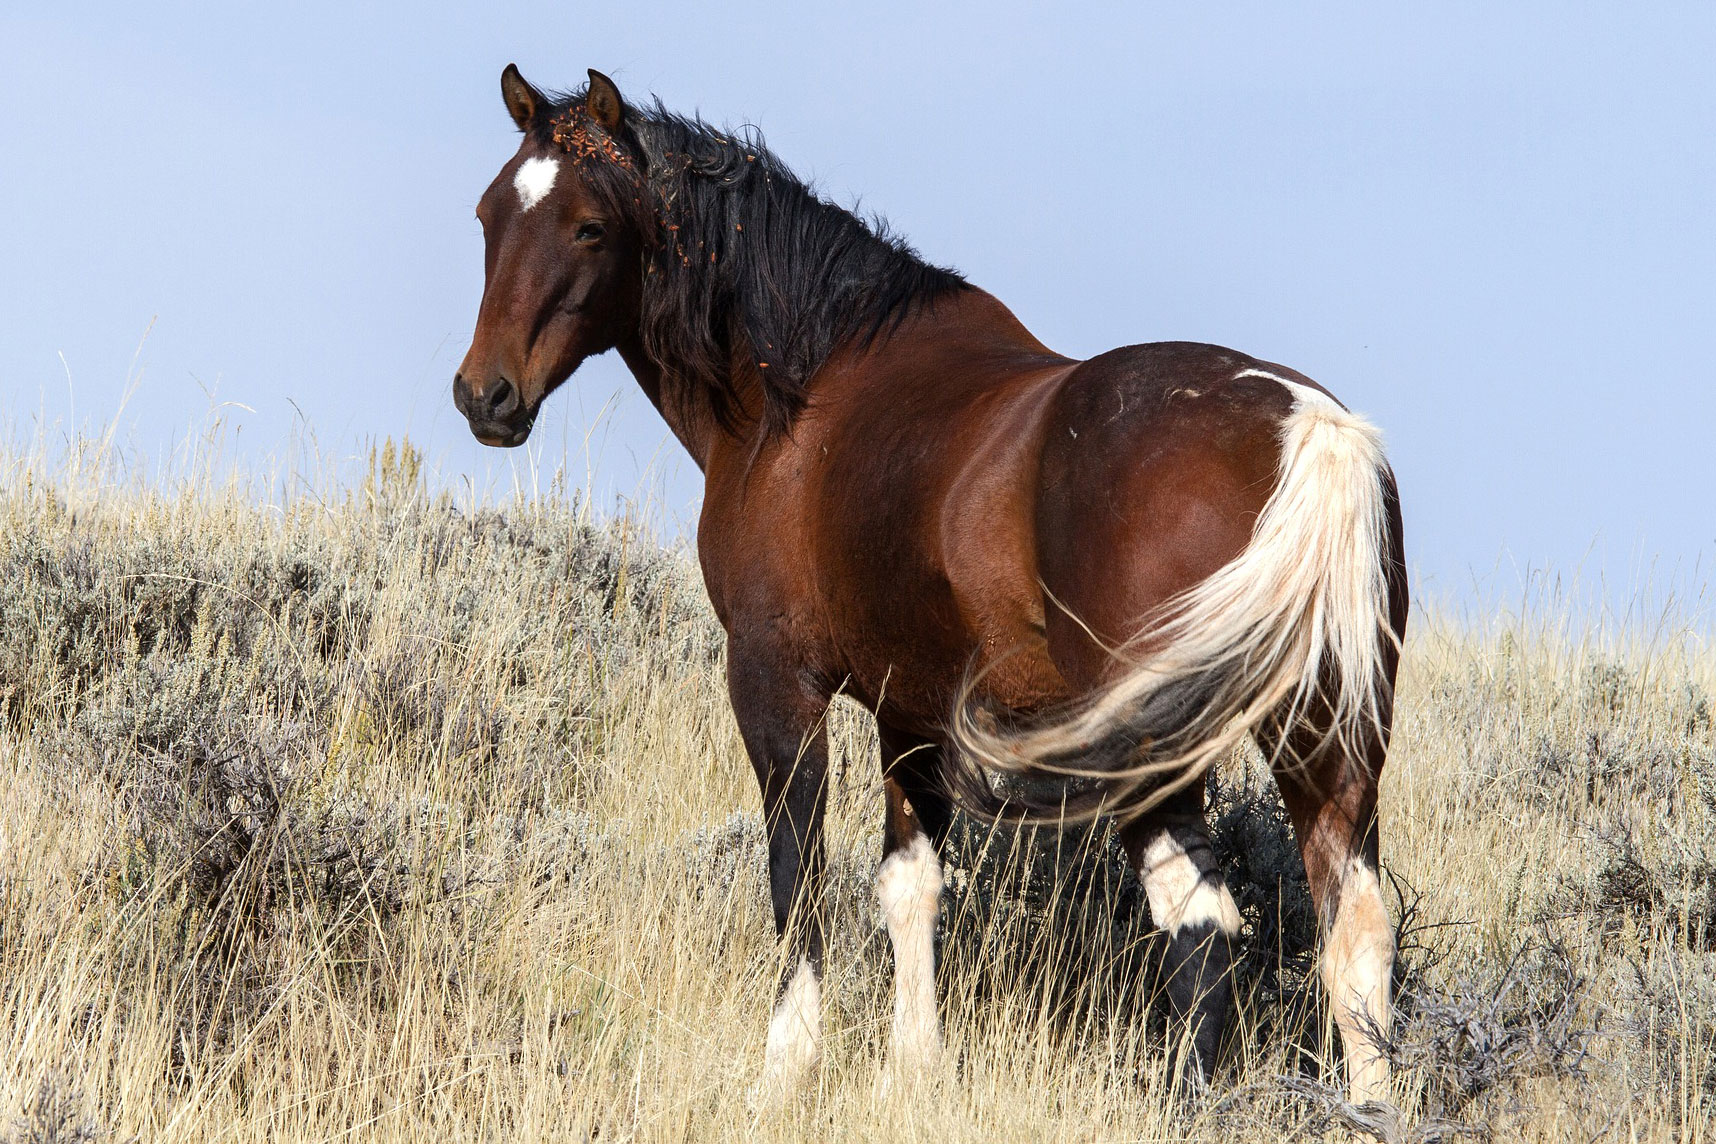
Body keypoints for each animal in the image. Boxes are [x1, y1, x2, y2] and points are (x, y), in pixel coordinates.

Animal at [456, 67, 1407, 1104]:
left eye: (589, 227)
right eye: (486, 215)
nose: (484, 396)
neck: (806, 391)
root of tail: (1307, 428)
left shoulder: (774, 684)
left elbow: (796, 873)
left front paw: (786, 1066)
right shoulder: (908, 709)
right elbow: (909, 885)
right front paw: (915, 1067)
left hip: (1160, 756)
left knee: (1196, 917)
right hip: (1326, 740)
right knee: (1352, 923)